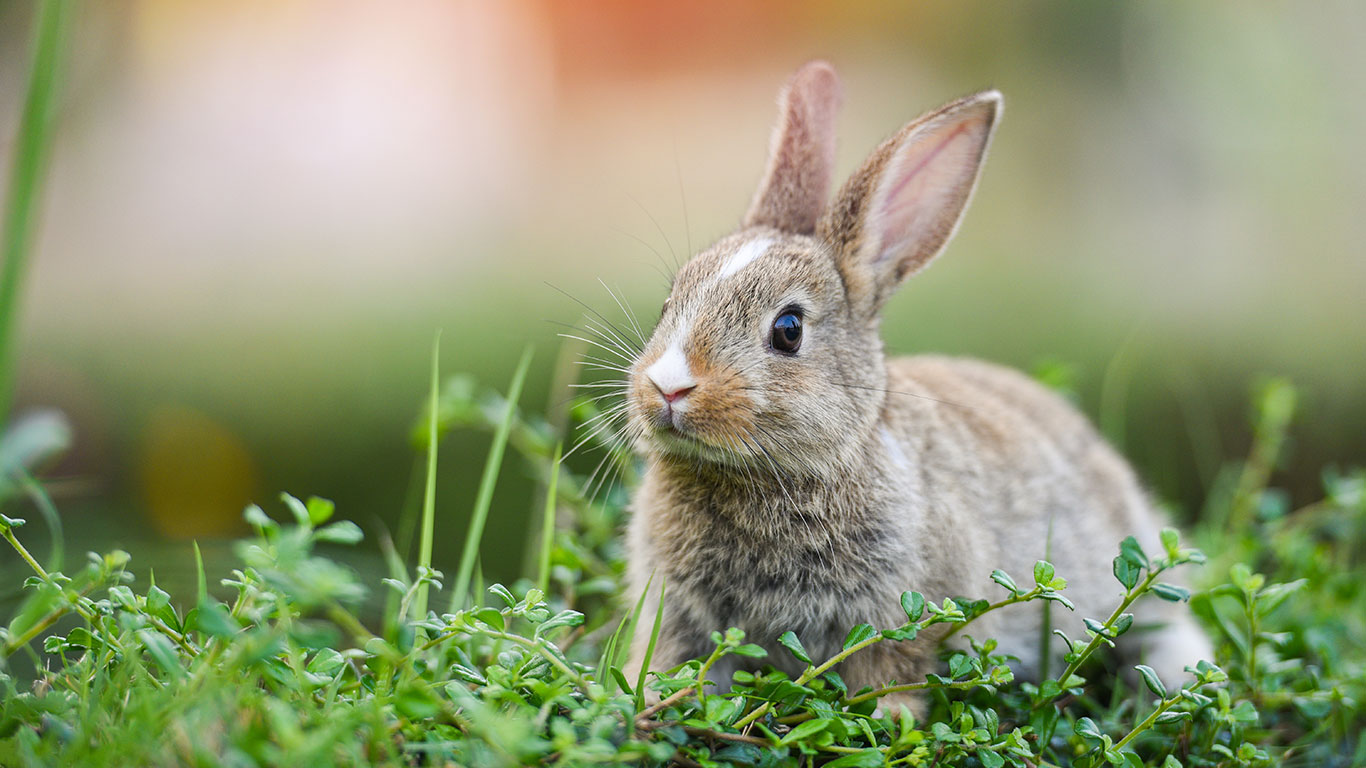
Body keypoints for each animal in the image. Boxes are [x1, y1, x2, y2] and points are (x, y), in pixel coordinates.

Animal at [618, 61, 1210, 715]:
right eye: (670, 301)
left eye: (788, 329)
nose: (668, 388)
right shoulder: (681, 620)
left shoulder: (901, 618)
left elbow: (892, 675)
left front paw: (888, 720)